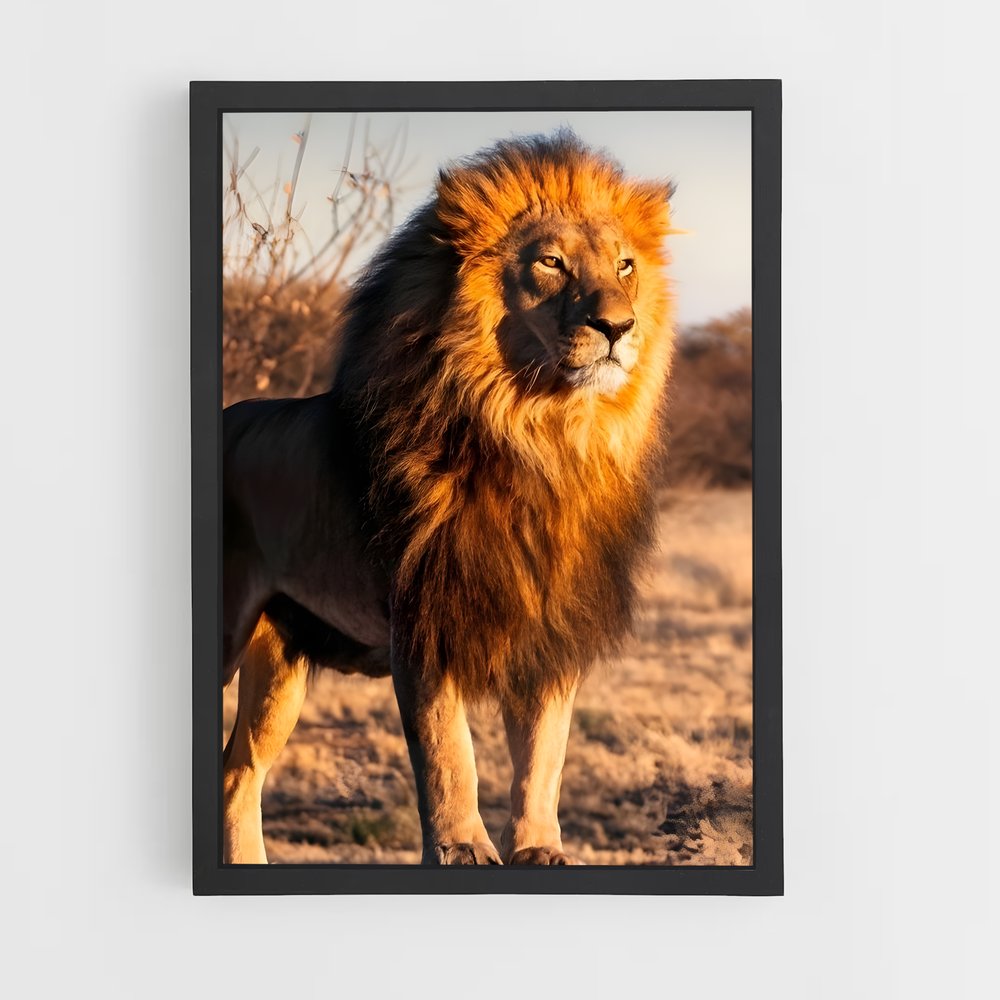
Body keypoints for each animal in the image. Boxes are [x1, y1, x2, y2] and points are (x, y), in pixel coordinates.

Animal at [222, 131, 676, 865]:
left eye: (626, 265)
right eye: (551, 262)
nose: (618, 326)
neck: (541, 437)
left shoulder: (551, 629)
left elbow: (544, 755)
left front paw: (540, 849)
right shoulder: (424, 620)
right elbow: (447, 751)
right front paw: (462, 847)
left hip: (279, 663)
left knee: (238, 773)